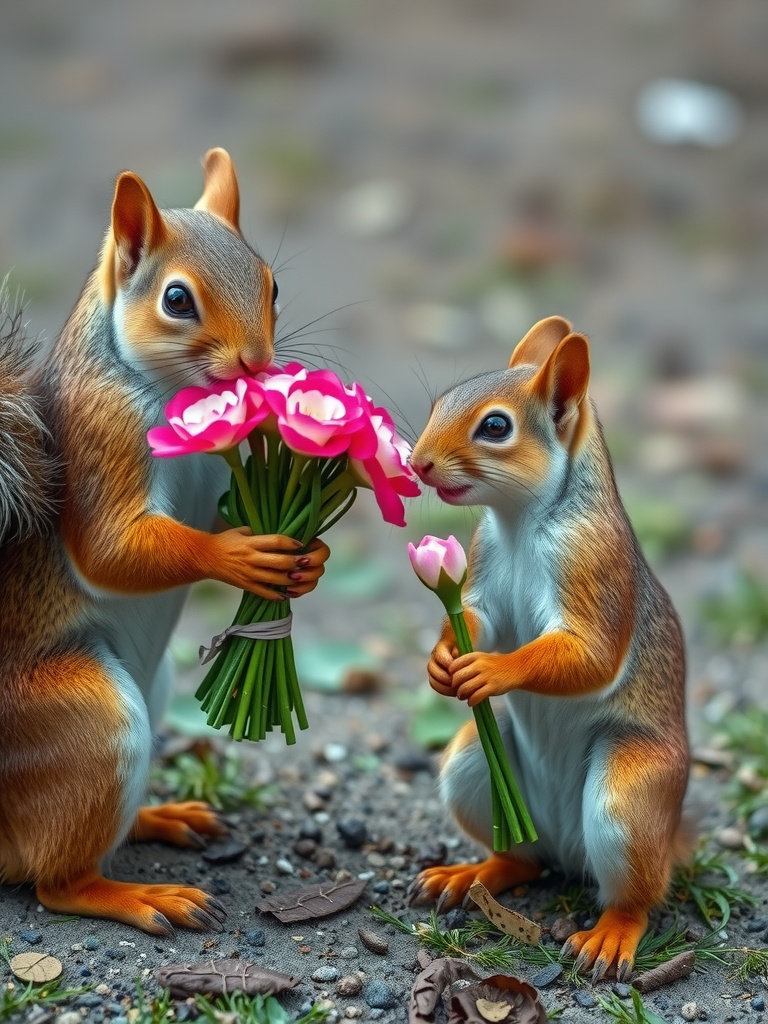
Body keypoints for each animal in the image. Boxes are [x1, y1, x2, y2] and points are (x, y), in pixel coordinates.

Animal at [0, 149, 327, 937]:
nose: (256, 366)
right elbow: (112, 547)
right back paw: (138, 896)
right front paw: (239, 557)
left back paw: (163, 817)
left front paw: (310, 558)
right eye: (176, 300)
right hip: (94, 724)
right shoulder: (100, 440)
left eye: (273, 283)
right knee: (54, 882)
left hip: (156, 691)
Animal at [409, 315, 692, 978]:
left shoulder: (594, 565)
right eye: (439, 401)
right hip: (471, 765)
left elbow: (588, 654)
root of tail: (569, 847)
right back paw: (469, 874)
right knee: (523, 859)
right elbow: (477, 620)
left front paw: (491, 671)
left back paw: (610, 935)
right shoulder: (480, 576)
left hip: (626, 799)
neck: (518, 522)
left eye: (495, 427)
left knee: (636, 897)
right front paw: (441, 660)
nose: (418, 463)